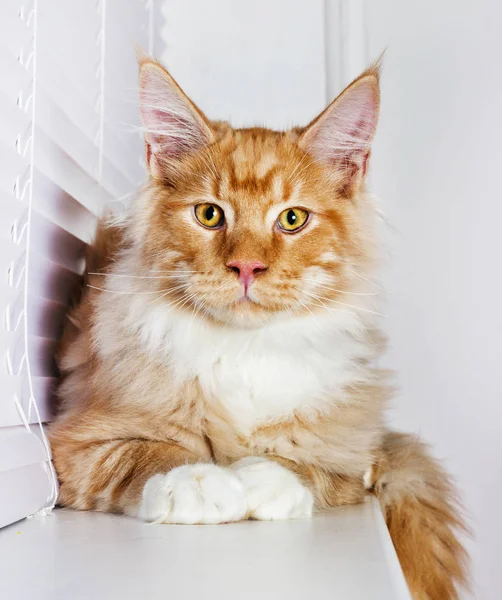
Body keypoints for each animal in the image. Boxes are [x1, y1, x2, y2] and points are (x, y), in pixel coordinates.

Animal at [49, 56, 468, 600]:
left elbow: (305, 463)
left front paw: (257, 479)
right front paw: (198, 481)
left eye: (292, 219)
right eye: (209, 214)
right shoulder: (75, 443)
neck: (246, 348)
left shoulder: (354, 452)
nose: (246, 267)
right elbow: (147, 454)